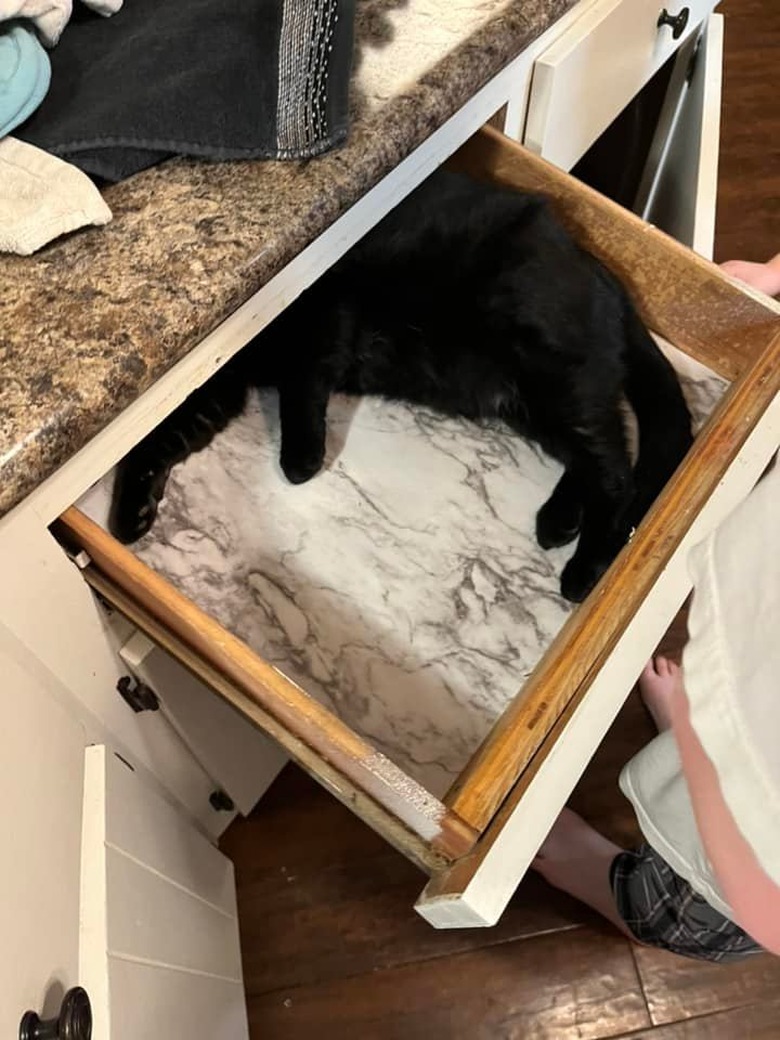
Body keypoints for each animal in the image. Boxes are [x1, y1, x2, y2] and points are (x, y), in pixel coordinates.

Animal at [108, 170, 690, 603]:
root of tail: (599, 269)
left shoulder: (321, 316)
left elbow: (303, 389)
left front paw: (300, 460)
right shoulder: (217, 387)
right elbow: (157, 442)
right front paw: (131, 513)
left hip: (552, 377)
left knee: (618, 472)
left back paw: (584, 569)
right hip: (529, 403)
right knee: (593, 461)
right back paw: (559, 522)